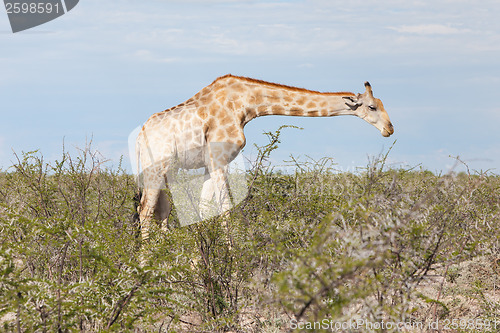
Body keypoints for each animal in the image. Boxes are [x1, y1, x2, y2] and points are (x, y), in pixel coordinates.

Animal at [136, 74, 394, 241]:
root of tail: (140, 135)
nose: (389, 129)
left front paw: (198, 264)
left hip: (170, 171)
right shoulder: (219, 160)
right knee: (145, 211)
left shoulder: (210, 163)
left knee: (160, 212)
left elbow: (203, 209)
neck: (246, 105)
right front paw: (233, 266)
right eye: (372, 107)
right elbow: (225, 209)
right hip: (155, 169)